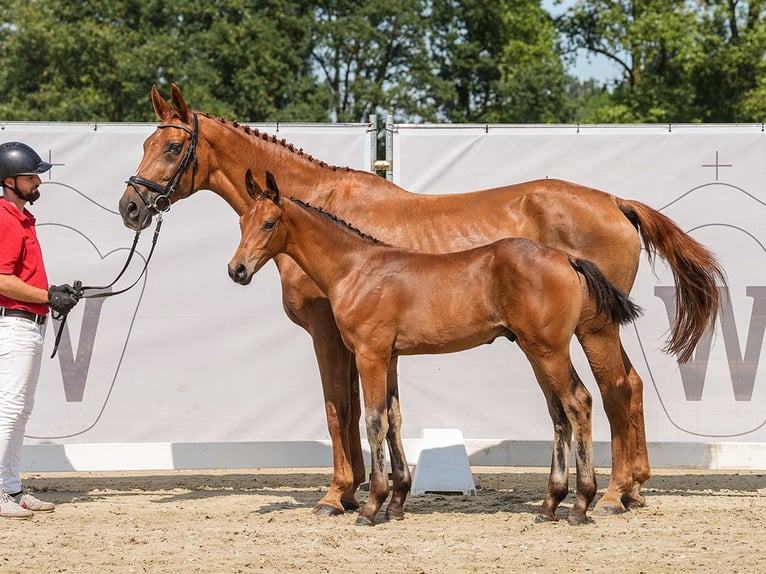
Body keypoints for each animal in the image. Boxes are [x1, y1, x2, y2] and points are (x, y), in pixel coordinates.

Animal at [230, 170, 648, 528]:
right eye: (242, 222)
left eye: (269, 223)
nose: (237, 270)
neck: (357, 268)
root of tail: (566, 258)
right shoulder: (391, 358)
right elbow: (394, 419)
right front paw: (396, 504)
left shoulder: (370, 355)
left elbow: (373, 421)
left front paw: (370, 506)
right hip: (536, 351)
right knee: (560, 413)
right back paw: (549, 506)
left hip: (552, 350)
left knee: (581, 402)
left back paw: (586, 503)